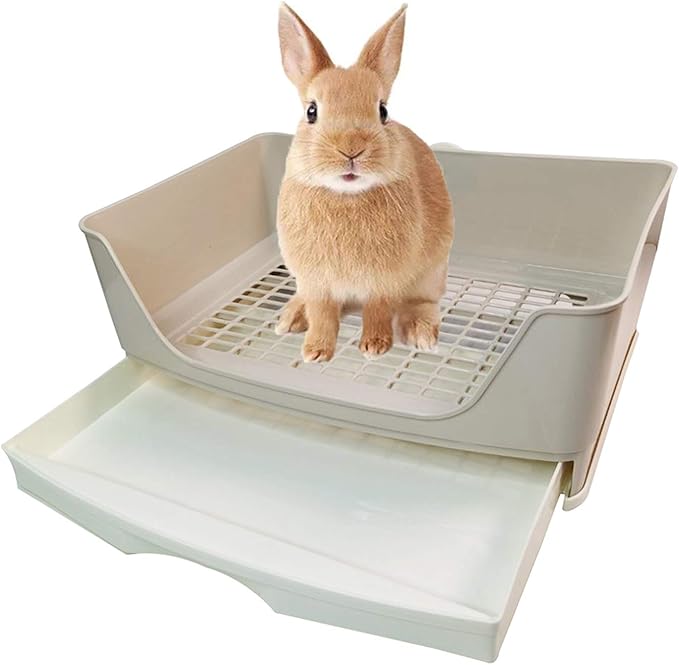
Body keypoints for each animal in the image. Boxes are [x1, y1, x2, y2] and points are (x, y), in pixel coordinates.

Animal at [276, 3, 453, 363]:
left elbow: (378, 311)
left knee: (422, 302)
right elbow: (322, 315)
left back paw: (420, 332)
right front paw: (315, 351)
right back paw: (292, 317)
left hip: (431, 273)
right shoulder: (316, 284)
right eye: (311, 111)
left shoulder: (383, 283)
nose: (351, 148)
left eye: (383, 111)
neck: (346, 196)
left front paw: (374, 346)